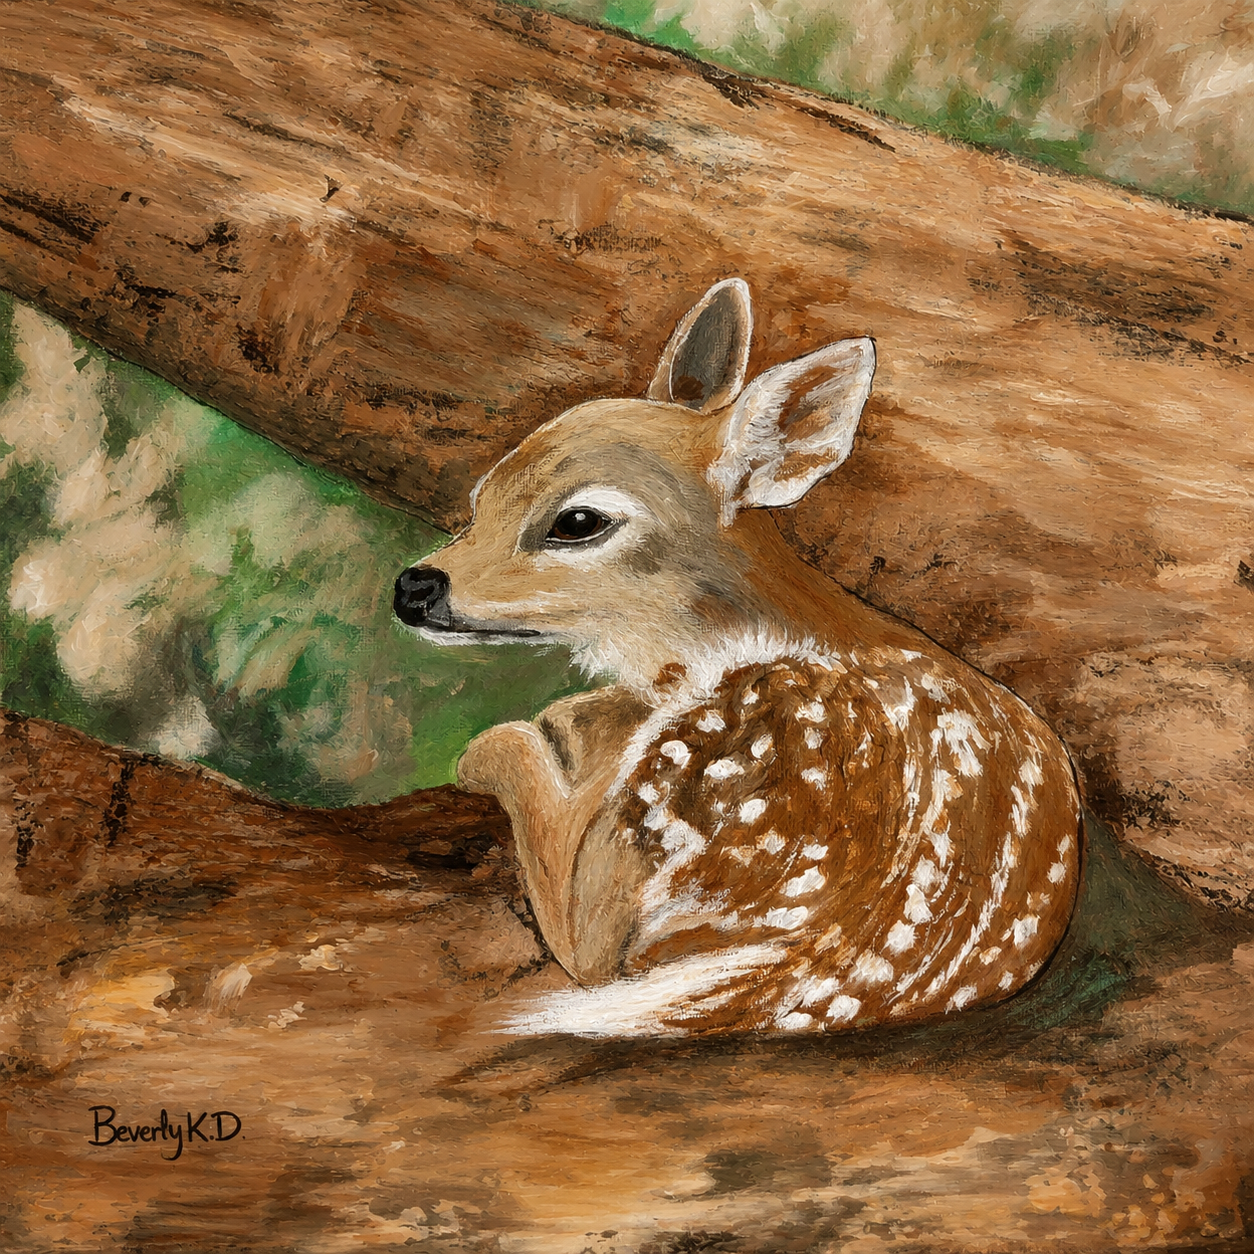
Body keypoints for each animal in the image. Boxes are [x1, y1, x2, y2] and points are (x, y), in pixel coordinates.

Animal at [393, 279, 1081, 1037]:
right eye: (481, 495)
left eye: (578, 522)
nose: (414, 587)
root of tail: (808, 962)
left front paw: (524, 738)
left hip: (680, 796)